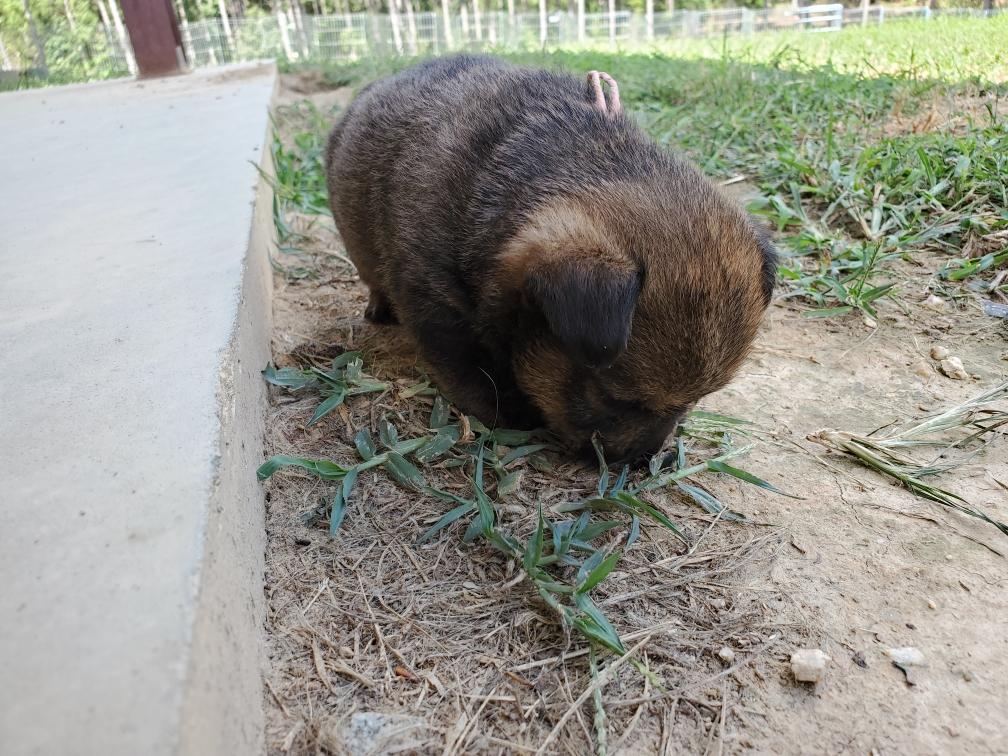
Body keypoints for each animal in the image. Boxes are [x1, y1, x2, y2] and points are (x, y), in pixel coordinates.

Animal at [325, 54, 775, 463]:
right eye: (611, 396)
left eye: (696, 401)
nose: (644, 460)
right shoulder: (437, 303)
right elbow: (474, 373)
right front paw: (510, 414)